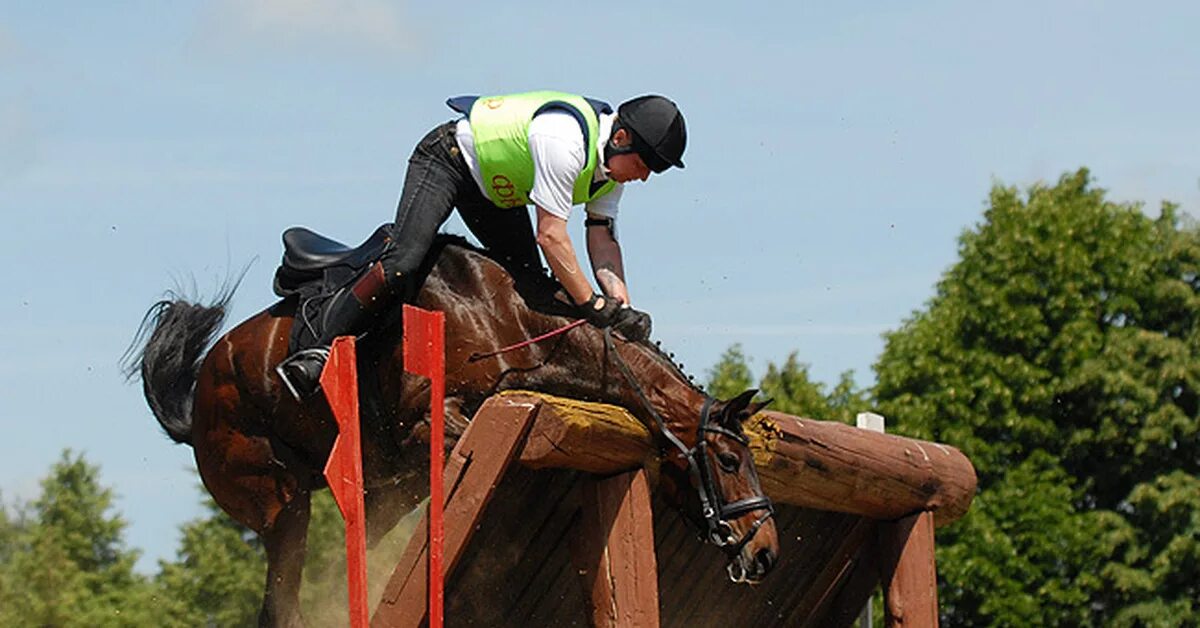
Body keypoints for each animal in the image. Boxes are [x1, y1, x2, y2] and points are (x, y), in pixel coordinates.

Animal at [129, 232, 777, 628]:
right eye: (727, 462)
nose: (766, 551)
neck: (510, 318)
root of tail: (197, 401)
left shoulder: (406, 469)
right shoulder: (425, 426)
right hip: (279, 502)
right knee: (279, 601)